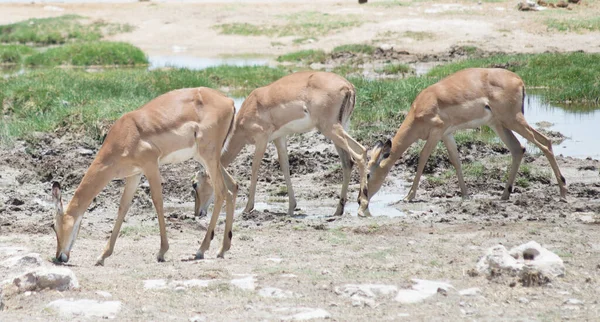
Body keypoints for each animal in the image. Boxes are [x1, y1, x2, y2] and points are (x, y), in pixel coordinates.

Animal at [51, 87, 238, 266]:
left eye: (54, 225)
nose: (59, 257)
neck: (125, 133)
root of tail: (228, 101)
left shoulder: (151, 166)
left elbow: (158, 202)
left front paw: (162, 252)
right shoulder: (135, 174)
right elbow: (123, 207)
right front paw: (102, 256)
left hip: (208, 157)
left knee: (222, 192)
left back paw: (200, 250)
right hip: (207, 159)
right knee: (233, 186)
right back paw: (222, 249)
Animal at [193, 72, 370, 218]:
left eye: (194, 184)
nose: (198, 213)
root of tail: (347, 86)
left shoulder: (262, 139)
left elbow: (255, 168)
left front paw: (248, 208)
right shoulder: (279, 138)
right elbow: (285, 167)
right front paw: (291, 207)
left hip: (329, 128)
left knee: (360, 153)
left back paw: (363, 208)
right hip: (341, 127)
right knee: (348, 162)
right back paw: (338, 210)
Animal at [366, 68, 568, 204]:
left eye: (368, 175)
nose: (363, 198)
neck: (421, 107)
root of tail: (518, 80)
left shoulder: (436, 131)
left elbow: (423, 158)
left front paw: (409, 196)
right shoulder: (447, 134)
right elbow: (456, 160)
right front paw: (465, 194)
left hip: (513, 120)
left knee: (544, 143)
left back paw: (563, 191)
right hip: (499, 124)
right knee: (521, 148)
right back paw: (505, 194)